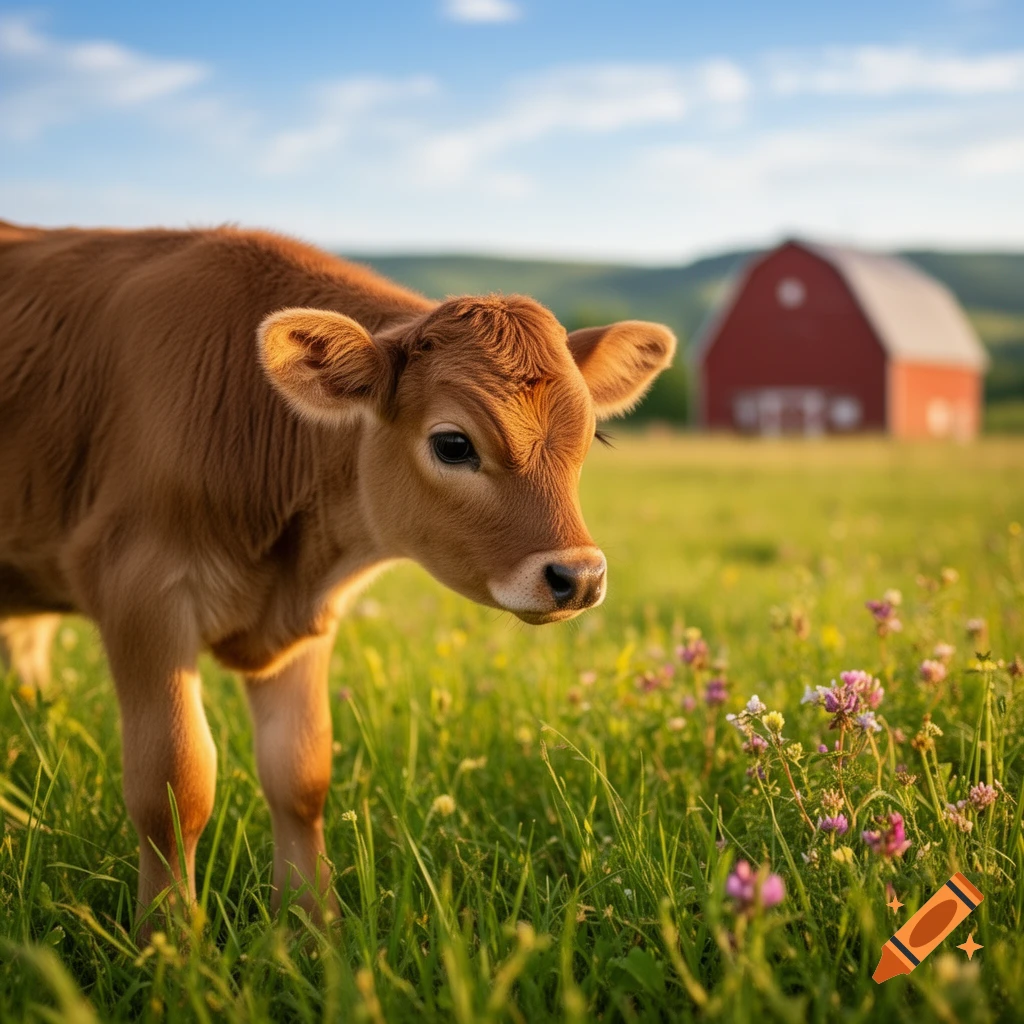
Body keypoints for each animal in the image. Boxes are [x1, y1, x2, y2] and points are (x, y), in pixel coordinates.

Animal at [0, 220, 675, 928]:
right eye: (453, 444)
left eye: (592, 438)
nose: (580, 576)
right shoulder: (138, 590)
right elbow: (174, 787)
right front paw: (169, 938)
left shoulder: (306, 625)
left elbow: (301, 775)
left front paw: (311, 928)